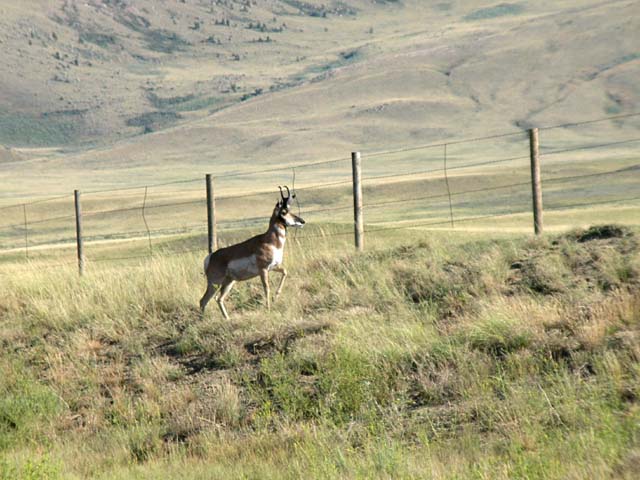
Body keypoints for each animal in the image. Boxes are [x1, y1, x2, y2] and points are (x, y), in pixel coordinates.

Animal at [200, 187, 304, 318]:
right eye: (284, 211)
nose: (302, 221)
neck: (269, 241)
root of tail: (211, 256)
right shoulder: (263, 270)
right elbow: (266, 288)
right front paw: (268, 308)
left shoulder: (273, 267)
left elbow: (285, 272)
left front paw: (276, 297)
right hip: (215, 282)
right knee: (203, 300)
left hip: (229, 281)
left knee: (218, 299)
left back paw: (227, 319)